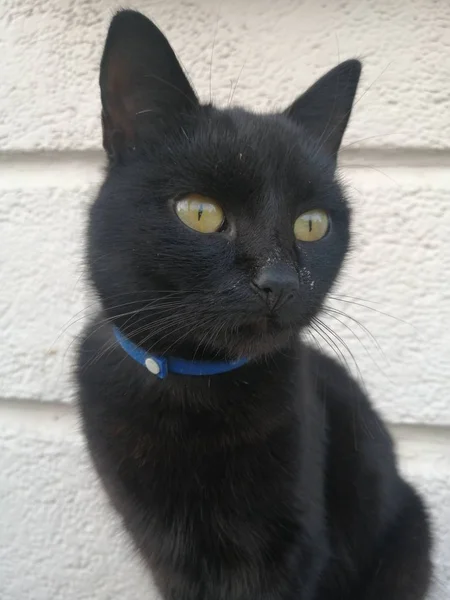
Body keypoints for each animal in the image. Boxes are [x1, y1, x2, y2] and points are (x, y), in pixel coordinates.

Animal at [77, 9, 432, 600]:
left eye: (311, 224)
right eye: (200, 212)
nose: (280, 281)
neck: (195, 395)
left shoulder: (295, 550)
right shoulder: (166, 555)